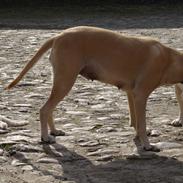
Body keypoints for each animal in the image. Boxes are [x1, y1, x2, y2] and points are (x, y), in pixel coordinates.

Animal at [5, 25, 183, 152]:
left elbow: (136, 122)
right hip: (65, 81)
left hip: (62, 82)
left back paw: (54, 131)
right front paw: (147, 145)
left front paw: (139, 137)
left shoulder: (131, 94)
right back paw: (45, 137)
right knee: (44, 109)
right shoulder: (140, 95)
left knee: (49, 109)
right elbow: (142, 123)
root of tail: (58, 36)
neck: (170, 59)